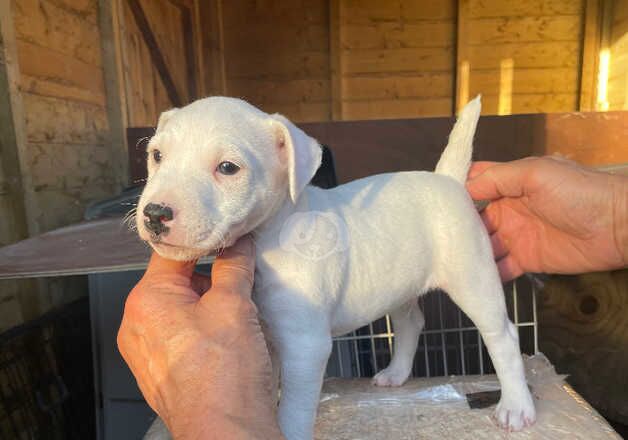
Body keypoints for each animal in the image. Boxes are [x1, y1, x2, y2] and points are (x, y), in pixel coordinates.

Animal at [136, 94, 536, 438]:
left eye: (228, 167)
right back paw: (396, 373)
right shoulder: (266, 333)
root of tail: (447, 179)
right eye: (157, 155)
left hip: (473, 277)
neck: (273, 234)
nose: (155, 214)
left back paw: (516, 406)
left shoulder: (306, 345)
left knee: (503, 335)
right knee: (412, 322)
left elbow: (295, 409)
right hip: (400, 284)